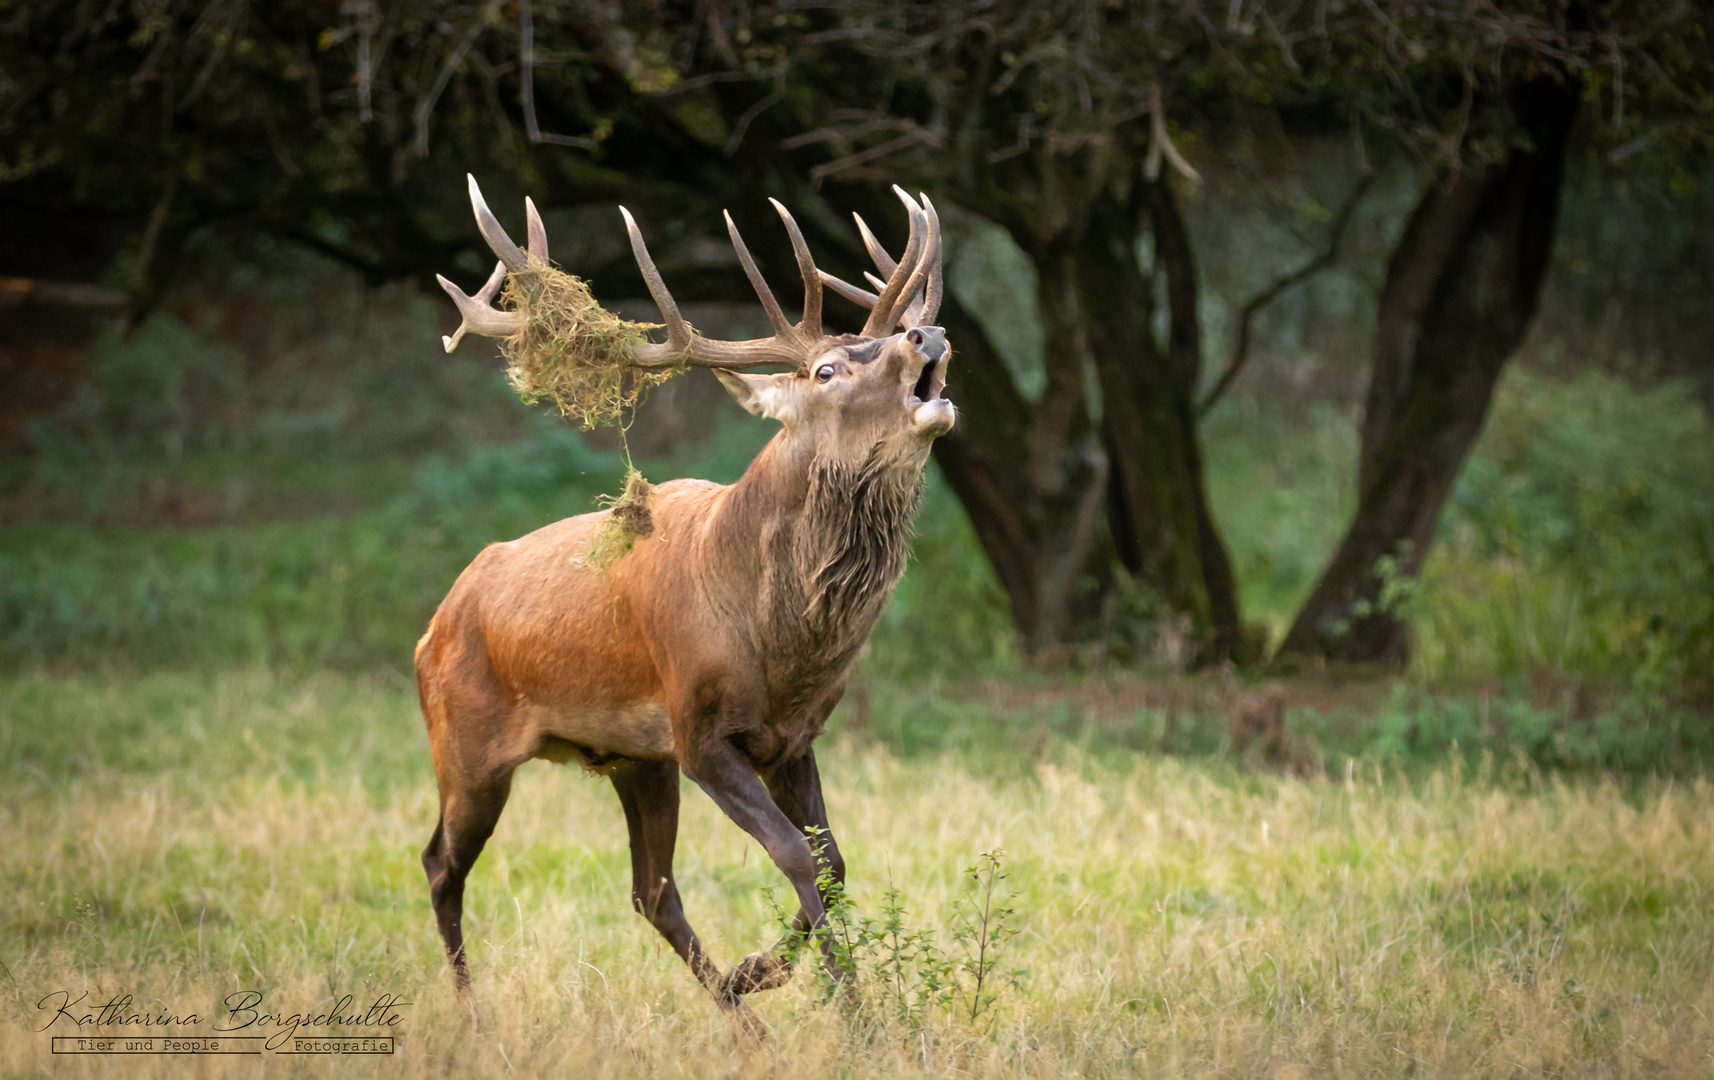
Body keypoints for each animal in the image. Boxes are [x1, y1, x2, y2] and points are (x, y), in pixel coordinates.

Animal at [416, 175, 954, 1030]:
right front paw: (852, 1014)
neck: (777, 644)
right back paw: (474, 1018)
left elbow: (832, 862)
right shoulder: (698, 728)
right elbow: (794, 853)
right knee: (441, 863)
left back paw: (742, 1020)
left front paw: (769, 975)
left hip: (634, 758)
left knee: (651, 892)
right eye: (827, 370)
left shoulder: (791, 738)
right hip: (467, 745)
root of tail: (432, 628)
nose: (927, 335)